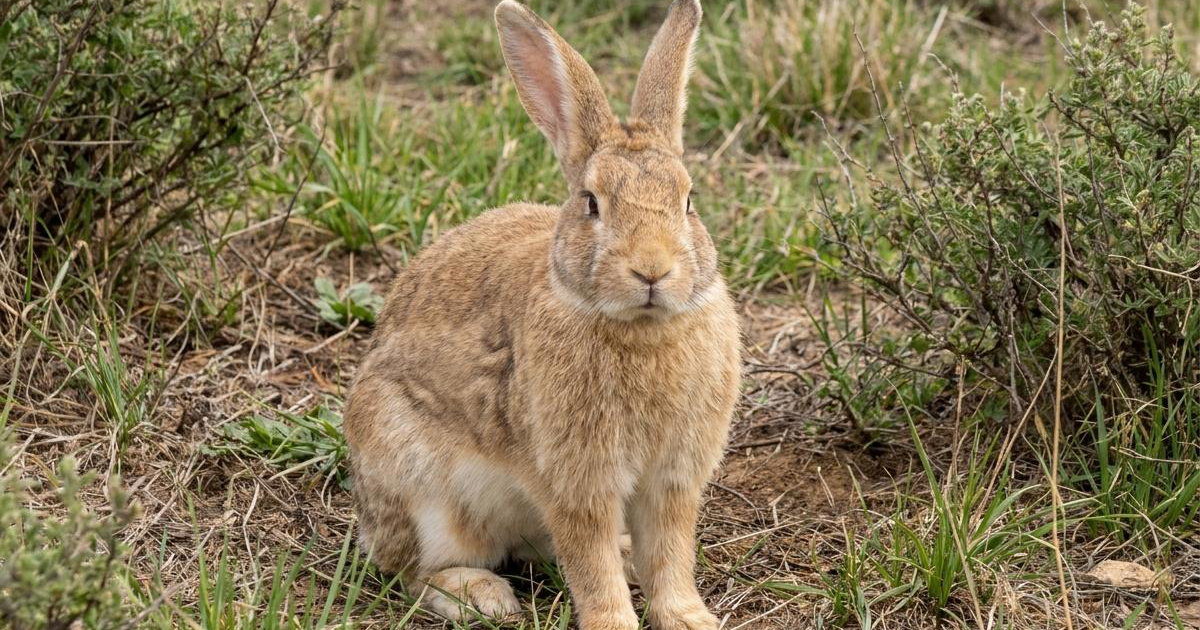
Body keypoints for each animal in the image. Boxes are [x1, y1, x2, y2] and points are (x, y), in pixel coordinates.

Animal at [343, 1, 741, 628]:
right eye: (592, 203)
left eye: (688, 200)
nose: (652, 270)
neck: (642, 329)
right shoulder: (576, 481)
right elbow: (590, 563)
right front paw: (615, 622)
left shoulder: (674, 479)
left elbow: (671, 554)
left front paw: (688, 617)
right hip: (419, 487)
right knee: (410, 571)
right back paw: (481, 595)